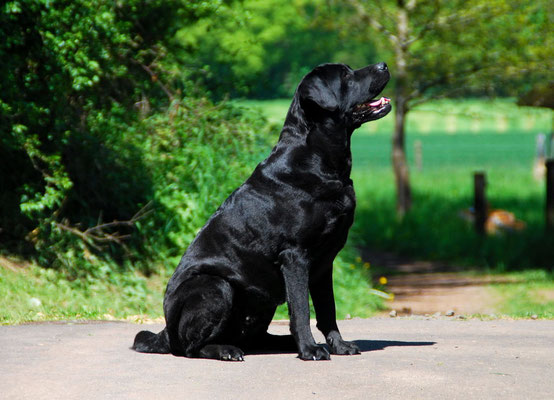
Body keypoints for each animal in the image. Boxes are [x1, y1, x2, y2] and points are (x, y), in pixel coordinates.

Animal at [133, 62, 391, 361]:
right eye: (346, 76)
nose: (383, 64)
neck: (320, 161)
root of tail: (164, 332)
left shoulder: (324, 263)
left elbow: (328, 310)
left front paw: (338, 345)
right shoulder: (295, 256)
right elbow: (301, 310)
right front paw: (310, 349)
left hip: (259, 304)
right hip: (215, 286)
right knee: (190, 347)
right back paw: (227, 350)